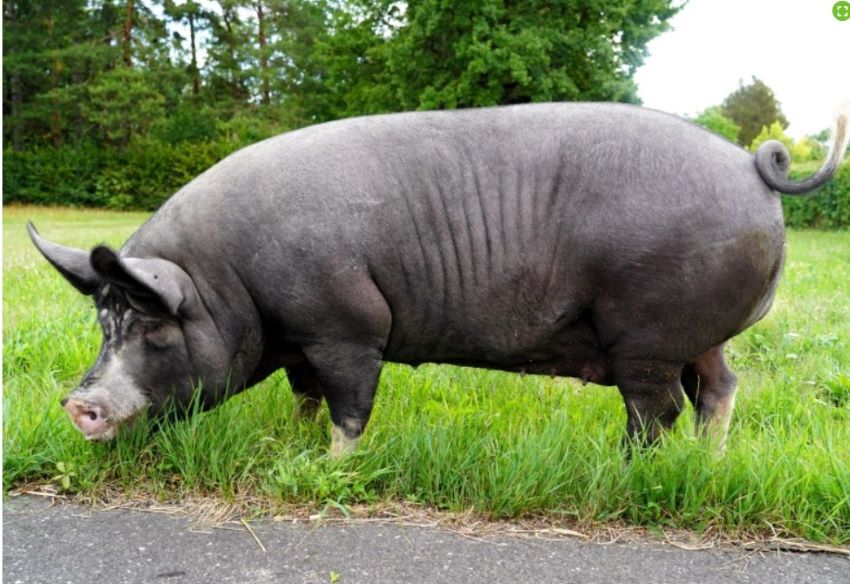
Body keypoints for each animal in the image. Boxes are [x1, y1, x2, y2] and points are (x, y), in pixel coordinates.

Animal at [29, 102, 850, 453]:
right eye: (103, 321)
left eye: (152, 324)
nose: (76, 404)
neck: (224, 282)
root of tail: (751, 165)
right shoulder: (300, 340)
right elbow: (305, 396)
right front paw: (292, 446)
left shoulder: (347, 324)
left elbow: (350, 405)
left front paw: (333, 466)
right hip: (693, 332)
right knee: (720, 387)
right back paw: (706, 463)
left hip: (647, 334)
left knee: (658, 411)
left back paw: (626, 471)